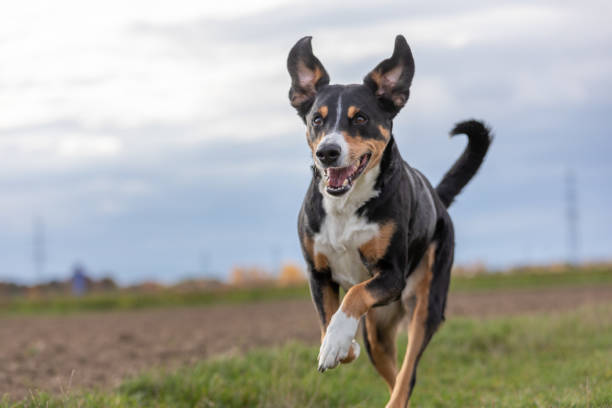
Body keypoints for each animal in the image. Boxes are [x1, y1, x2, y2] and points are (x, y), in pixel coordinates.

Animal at [286, 35, 492, 408]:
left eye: (361, 118)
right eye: (317, 120)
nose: (327, 153)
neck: (346, 206)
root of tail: (437, 199)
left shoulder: (391, 274)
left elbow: (354, 294)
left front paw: (337, 341)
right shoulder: (318, 273)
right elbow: (328, 321)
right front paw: (339, 345)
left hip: (425, 303)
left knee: (408, 374)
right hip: (378, 332)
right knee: (395, 373)